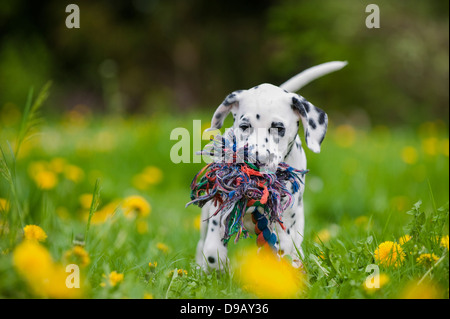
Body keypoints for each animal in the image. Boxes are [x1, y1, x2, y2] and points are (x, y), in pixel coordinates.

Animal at [195, 60, 346, 272]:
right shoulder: (220, 212)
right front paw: (221, 270)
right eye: (244, 126)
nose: (256, 159)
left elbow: (281, 249)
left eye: (278, 128)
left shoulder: (284, 223)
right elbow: (212, 252)